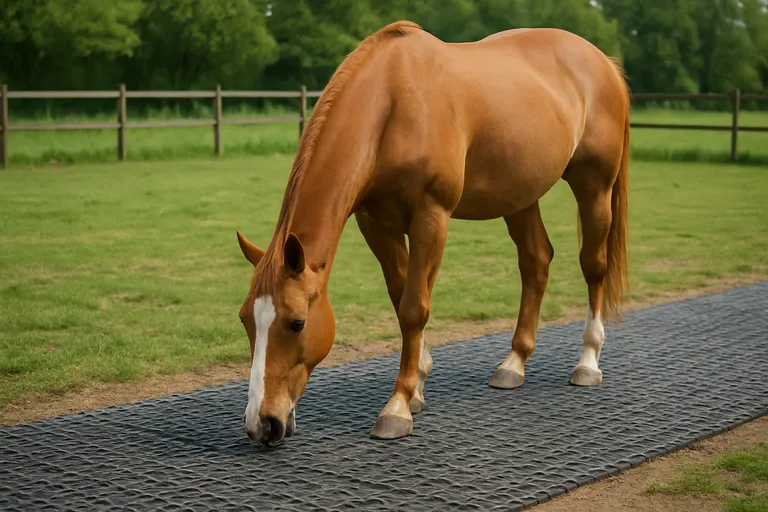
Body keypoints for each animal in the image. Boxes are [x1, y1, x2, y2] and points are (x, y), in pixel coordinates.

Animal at [236, 20, 630, 446]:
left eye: (297, 323)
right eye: (245, 320)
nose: (262, 423)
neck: (392, 105)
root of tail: (602, 62)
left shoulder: (431, 217)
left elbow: (414, 307)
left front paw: (397, 407)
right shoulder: (376, 224)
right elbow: (401, 296)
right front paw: (418, 388)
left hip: (594, 185)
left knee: (593, 265)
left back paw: (588, 362)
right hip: (520, 197)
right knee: (536, 262)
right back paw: (514, 364)